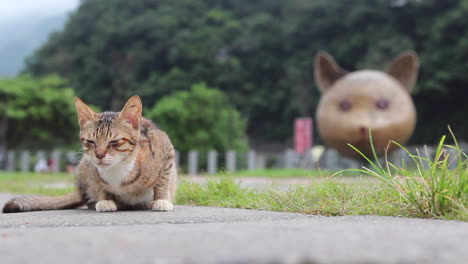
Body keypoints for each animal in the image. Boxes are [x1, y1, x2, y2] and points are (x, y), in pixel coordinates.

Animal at [2, 96, 177, 213]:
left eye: (114, 142)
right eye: (90, 142)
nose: (99, 155)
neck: (117, 169)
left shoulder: (166, 149)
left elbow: (162, 181)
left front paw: (161, 199)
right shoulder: (92, 167)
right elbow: (101, 185)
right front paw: (105, 199)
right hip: (83, 167)